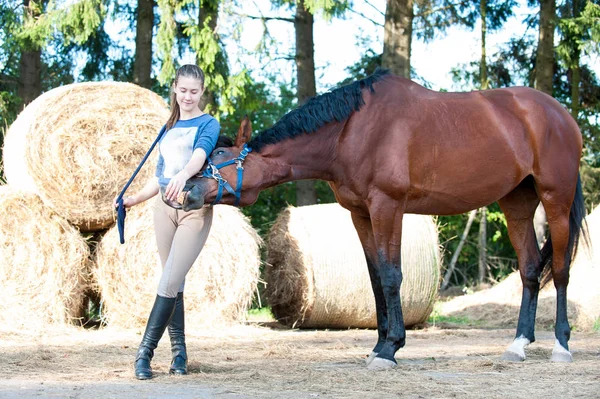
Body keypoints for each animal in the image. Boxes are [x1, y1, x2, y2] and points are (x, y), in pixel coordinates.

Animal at [182, 68, 584, 368]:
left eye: (218, 156)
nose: (187, 191)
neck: (349, 132)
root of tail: (561, 114)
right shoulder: (360, 214)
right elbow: (376, 279)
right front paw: (378, 345)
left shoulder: (387, 207)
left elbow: (392, 275)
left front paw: (391, 348)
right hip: (516, 204)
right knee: (530, 269)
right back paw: (518, 344)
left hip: (555, 199)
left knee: (560, 270)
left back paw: (561, 346)